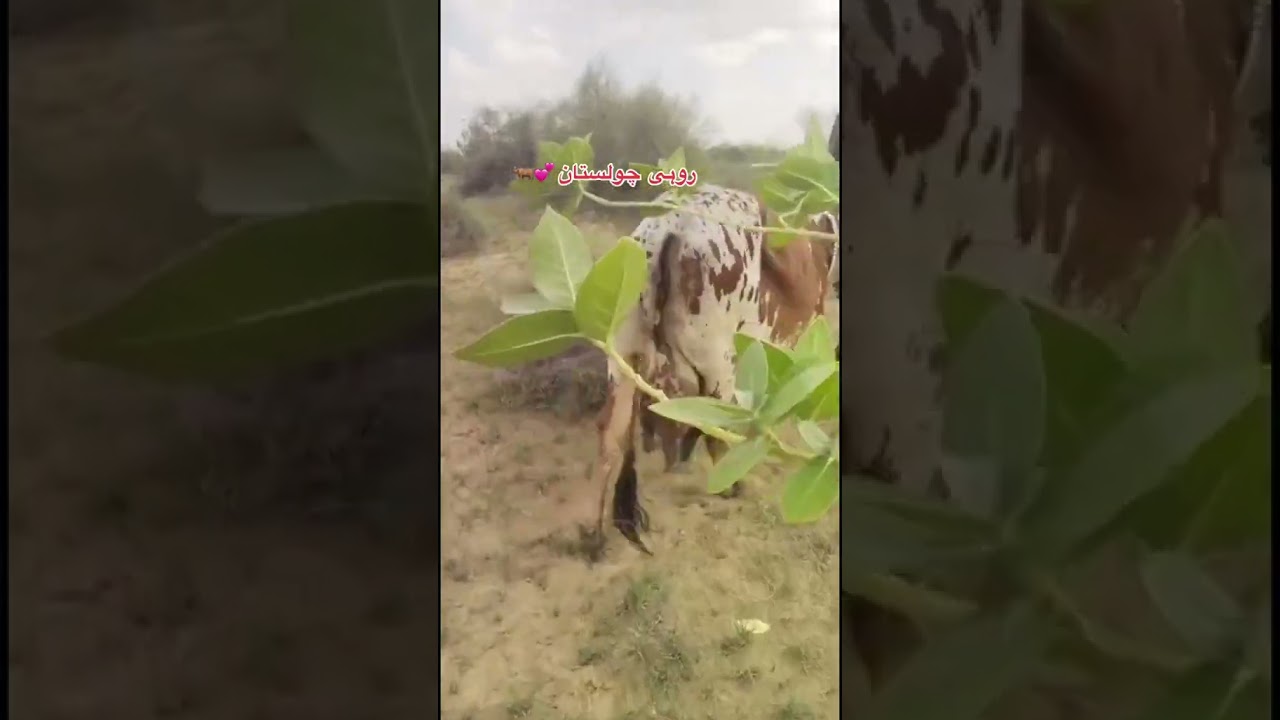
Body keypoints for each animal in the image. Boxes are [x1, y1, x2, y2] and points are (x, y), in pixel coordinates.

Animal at [578, 185, 839, 559]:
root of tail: (668, 227)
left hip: (623, 356)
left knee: (612, 434)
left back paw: (593, 533)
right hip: (719, 361)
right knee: (715, 428)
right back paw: (730, 486)